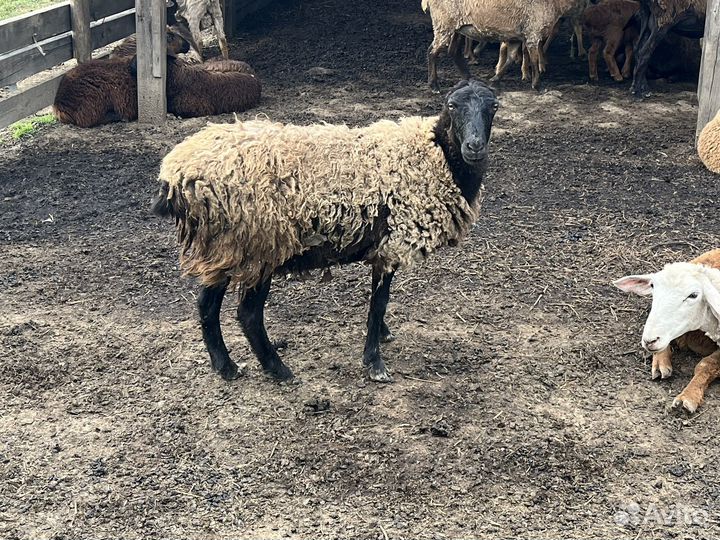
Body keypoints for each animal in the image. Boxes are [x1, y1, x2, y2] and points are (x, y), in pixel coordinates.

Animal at [151, 79, 499, 382]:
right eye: (452, 105)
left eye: (493, 107)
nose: (475, 147)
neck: (436, 156)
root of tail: (175, 174)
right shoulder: (391, 245)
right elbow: (379, 302)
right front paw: (374, 362)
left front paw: (383, 335)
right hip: (258, 244)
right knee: (247, 314)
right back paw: (277, 369)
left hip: (224, 247)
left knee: (206, 305)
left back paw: (226, 366)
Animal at [421, 0, 586, 91]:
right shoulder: (533, 31)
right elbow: (533, 59)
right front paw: (537, 84)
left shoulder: (515, 36)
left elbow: (511, 58)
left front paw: (495, 80)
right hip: (444, 22)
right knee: (432, 52)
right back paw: (434, 85)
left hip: (456, 27)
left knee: (453, 51)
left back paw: (468, 78)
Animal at [614, 249, 720, 412]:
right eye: (652, 286)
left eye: (693, 295)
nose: (649, 340)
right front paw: (660, 362)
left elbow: (707, 364)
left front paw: (687, 397)